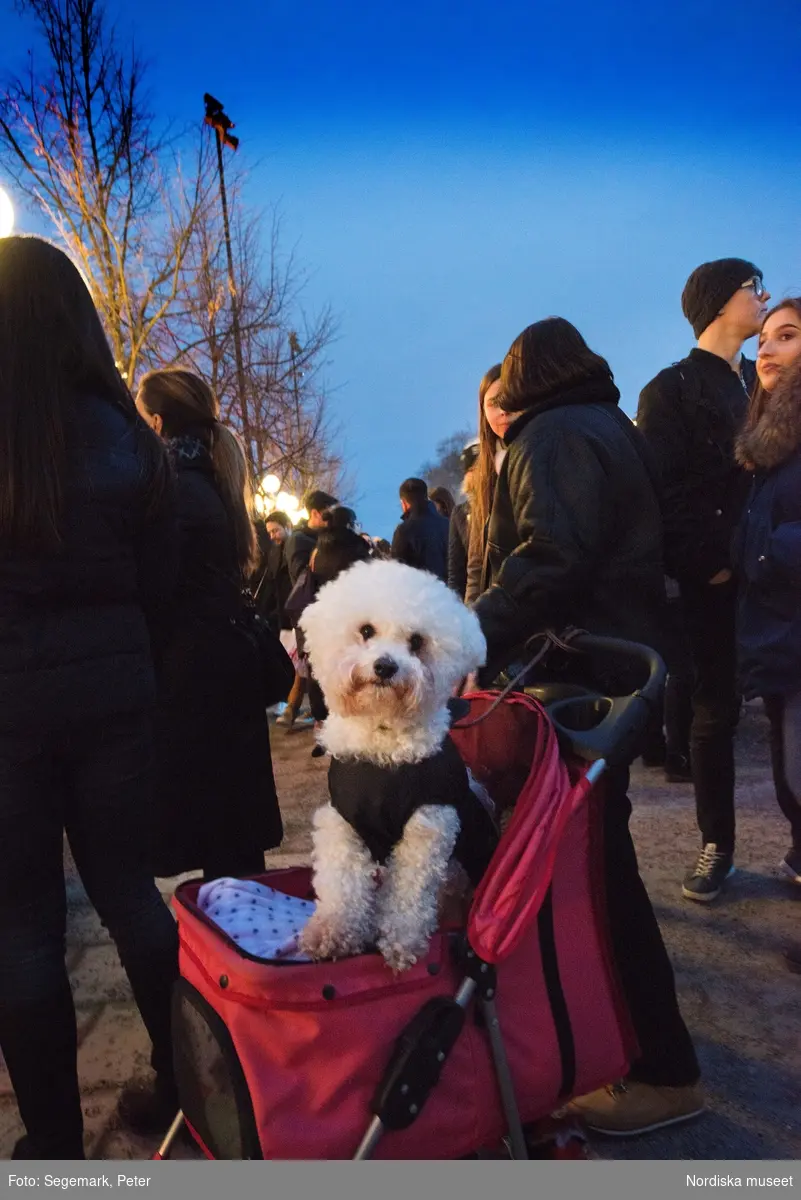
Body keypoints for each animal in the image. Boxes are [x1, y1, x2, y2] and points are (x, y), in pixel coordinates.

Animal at [296, 561, 494, 974]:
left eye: (417, 642)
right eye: (366, 631)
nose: (385, 666)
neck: (383, 747)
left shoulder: (427, 827)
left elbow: (409, 894)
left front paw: (402, 942)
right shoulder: (342, 824)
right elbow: (340, 886)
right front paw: (332, 932)